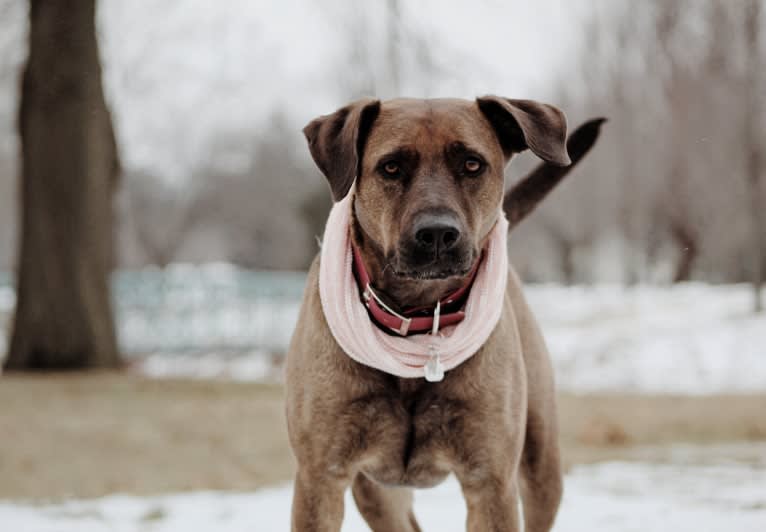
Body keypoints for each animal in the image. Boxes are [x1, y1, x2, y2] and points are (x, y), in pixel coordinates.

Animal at [286, 96, 608, 532]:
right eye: (391, 167)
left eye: (472, 164)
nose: (437, 233)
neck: (418, 318)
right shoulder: (320, 479)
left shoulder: (491, 482)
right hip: (377, 493)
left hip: (542, 467)